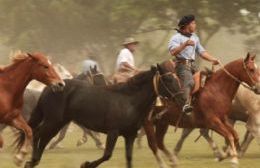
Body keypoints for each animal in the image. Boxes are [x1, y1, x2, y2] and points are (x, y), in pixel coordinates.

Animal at [17, 60, 181, 168]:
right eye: (168, 79)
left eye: (176, 77)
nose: (182, 98)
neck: (129, 101)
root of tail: (49, 88)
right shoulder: (113, 131)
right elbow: (107, 154)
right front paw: (86, 164)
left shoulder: (130, 135)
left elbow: (129, 159)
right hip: (53, 121)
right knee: (36, 133)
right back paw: (28, 159)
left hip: (58, 122)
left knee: (43, 137)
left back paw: (33, 160)